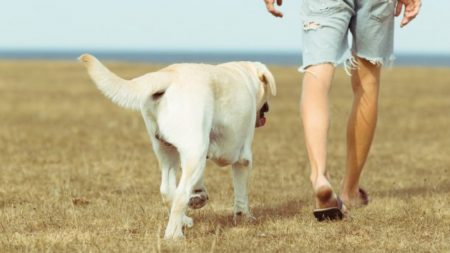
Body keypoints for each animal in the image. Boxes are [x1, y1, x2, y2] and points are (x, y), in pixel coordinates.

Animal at [79, 53, 276, 239]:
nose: (267, 108)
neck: (245, 75)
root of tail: (168, 75)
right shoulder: (242, 156)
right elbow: (241, 191)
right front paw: (245, 217)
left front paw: (199, 196)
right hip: (195, 152)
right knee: (180, 194)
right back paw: (174, 234)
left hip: (168, 151)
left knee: (167, 191)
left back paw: (185, 220)